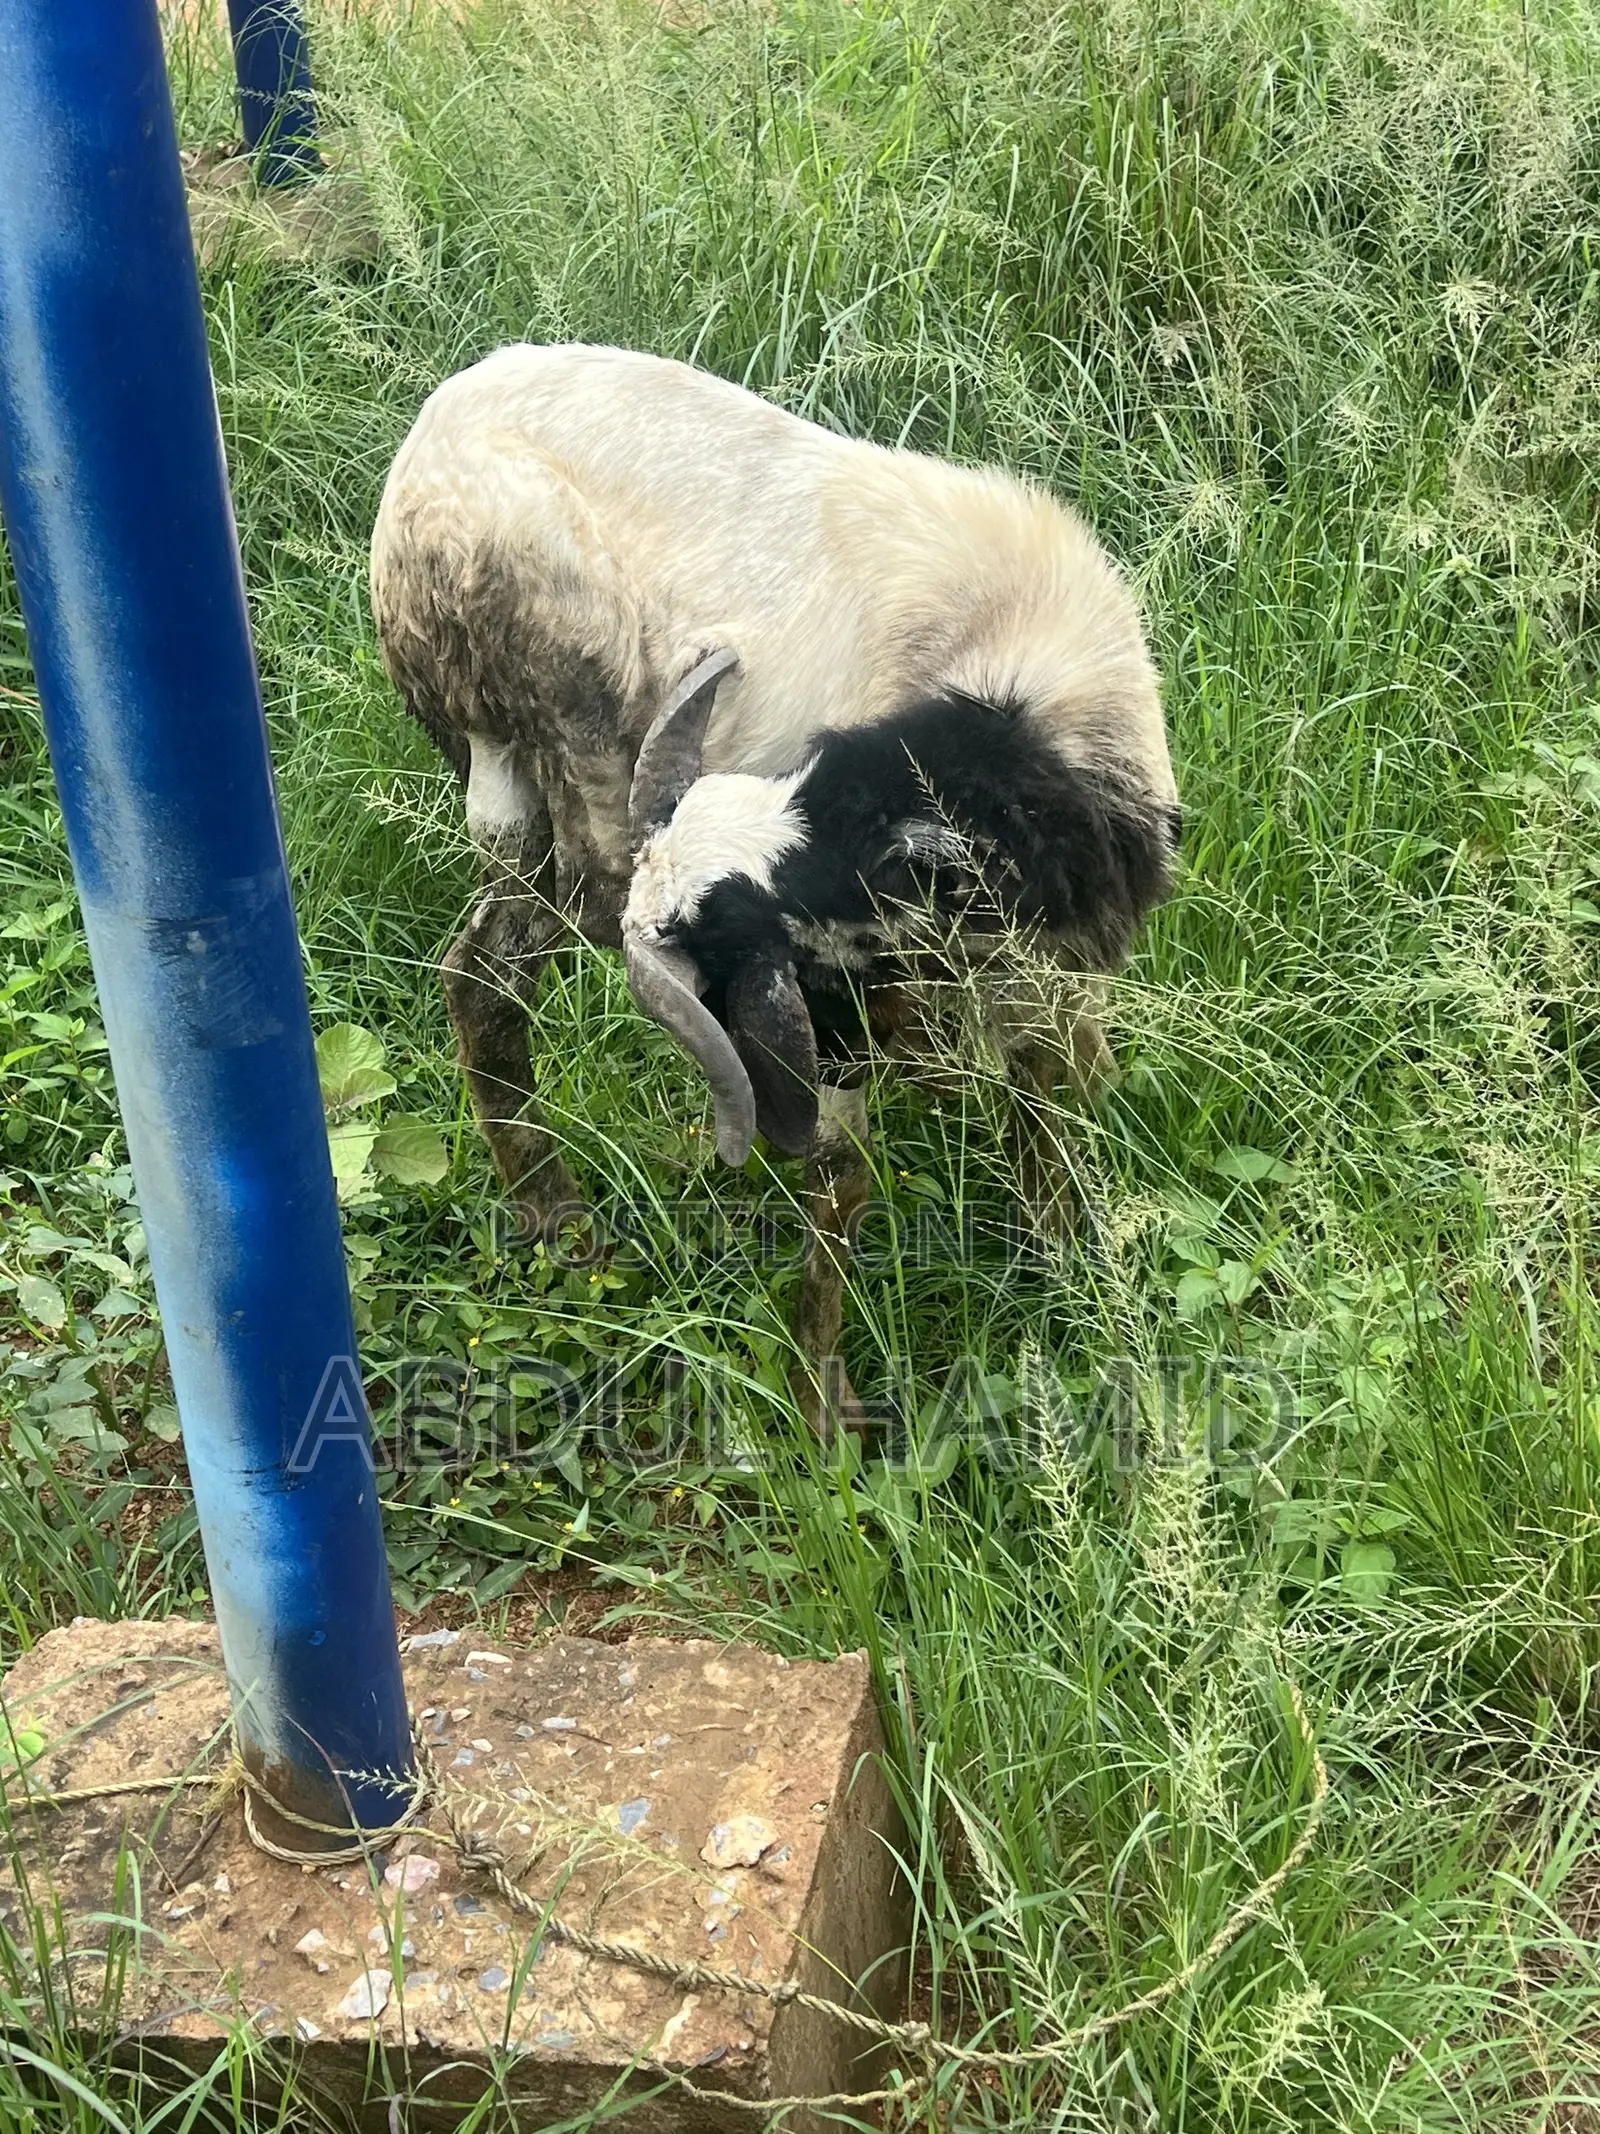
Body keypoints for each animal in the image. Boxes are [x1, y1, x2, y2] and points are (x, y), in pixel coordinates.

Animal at [370, 342, 1179, 1428]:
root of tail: (424, 464)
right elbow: (844, 1175)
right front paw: (824, 1408)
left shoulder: (1051, 981)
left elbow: (1054, 1110)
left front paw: (1070, 1280)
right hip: (578, 784)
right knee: (498, 971)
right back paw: (569, 1229)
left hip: (520, 795)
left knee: (479, 974)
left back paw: (551, 1222)